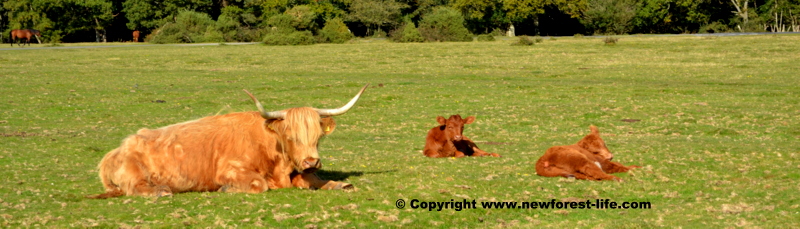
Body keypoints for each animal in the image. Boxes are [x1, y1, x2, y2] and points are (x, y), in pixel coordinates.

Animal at [90, 85, 368, 198]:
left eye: (318, 137)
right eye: (290, 136)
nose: (311, 160)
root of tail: (116, 150)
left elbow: (315, 180)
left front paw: (340, 184)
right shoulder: (230, 170)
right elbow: (258, 184)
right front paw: (225, 189)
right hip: (135, 173)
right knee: (137, 188)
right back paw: (161, 191)